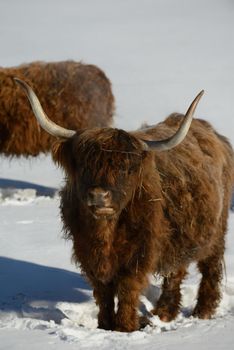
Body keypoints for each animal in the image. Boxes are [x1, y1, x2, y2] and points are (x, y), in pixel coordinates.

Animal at [15, 79, 234, 334]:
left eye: (125, 168)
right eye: (84, 166)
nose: (99, 196)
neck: (105, 234)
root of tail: (213, 134)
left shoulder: (139, 254)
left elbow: (128, 289)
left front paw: (125, 327)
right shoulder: (88, 254)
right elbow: (103, 292)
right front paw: (104, 325)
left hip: (217, 230)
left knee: (210, 267)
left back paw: (202, 312)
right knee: (175, 271)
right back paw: (164, 312)